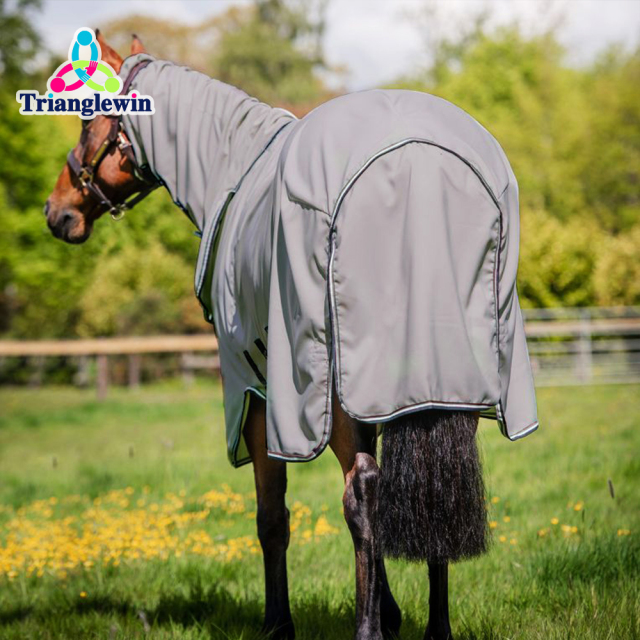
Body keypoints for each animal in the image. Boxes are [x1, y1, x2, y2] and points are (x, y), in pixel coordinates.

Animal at [44, 32, 538, 640]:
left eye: (87, 119)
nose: (57, 212)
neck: (229, 168)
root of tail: (415, 159)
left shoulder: (258, 393)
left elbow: (272, 516)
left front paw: (281, 624)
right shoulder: (362, 398)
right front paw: (391, 611)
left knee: (362, 492)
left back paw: (366, 630)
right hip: (445, 385)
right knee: (432, 495)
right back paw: (433, 630)